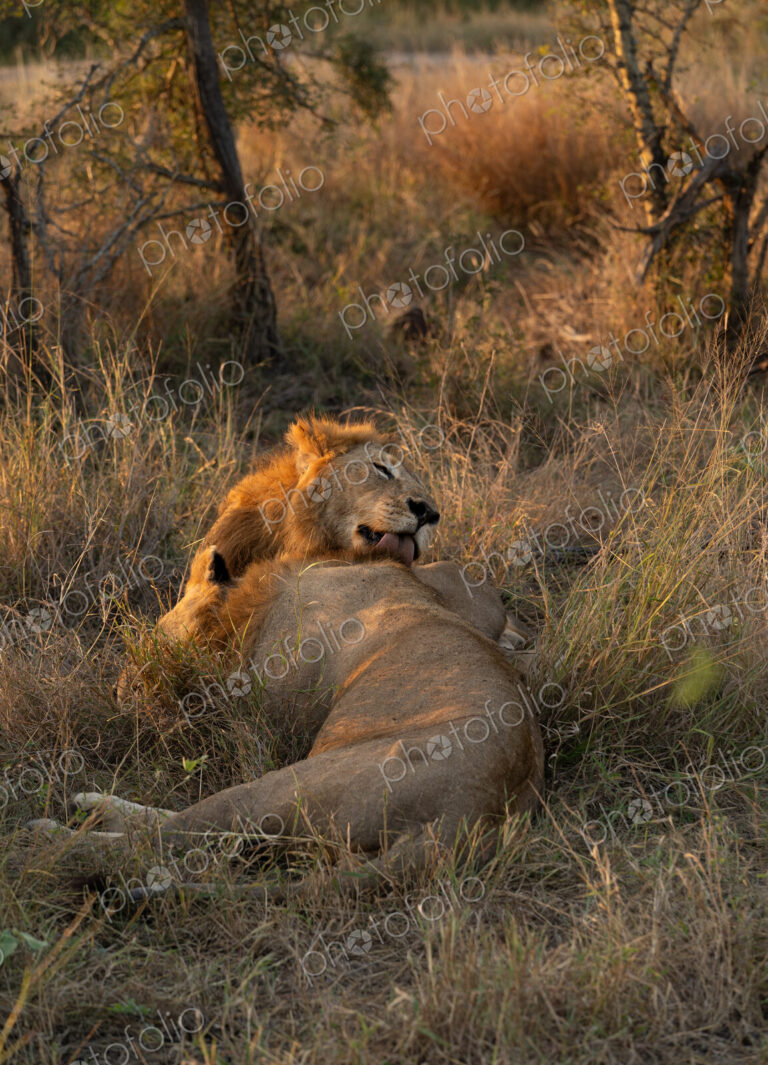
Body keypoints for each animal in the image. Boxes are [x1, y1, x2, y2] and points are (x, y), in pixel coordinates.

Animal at [36, 548, 544, 893]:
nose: (119, 691)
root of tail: (466, 819)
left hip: (281, 787)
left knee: (166, 836)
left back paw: (55, 837)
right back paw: (87, 804)